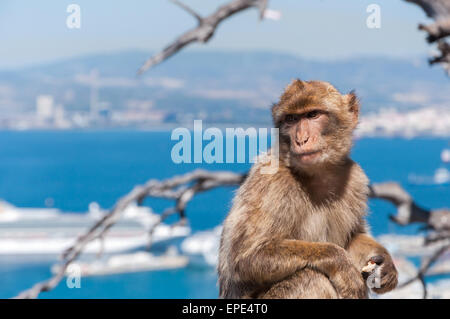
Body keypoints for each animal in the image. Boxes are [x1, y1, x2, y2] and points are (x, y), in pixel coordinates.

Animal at [218, 80, 398, 300]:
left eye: (313, 115)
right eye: (292, 119)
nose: (301, 139)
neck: (317, 174)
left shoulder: (355, 178)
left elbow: (354, 237)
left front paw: (385, 262)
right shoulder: (272, 183)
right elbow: (245, 259)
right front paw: (341, 263)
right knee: (311, 277)